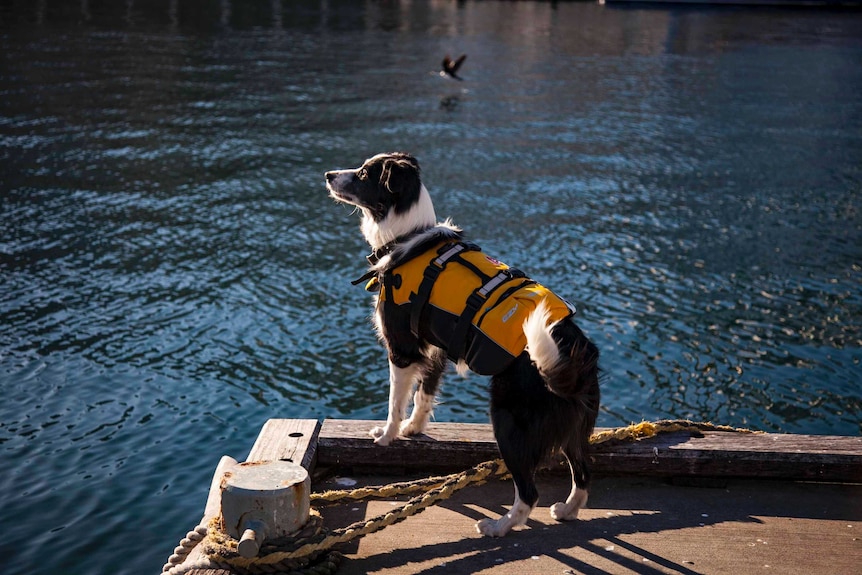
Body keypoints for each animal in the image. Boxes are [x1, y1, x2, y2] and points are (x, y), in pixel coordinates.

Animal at [324, 153, 600, 540]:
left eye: (364, 174)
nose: (329, 174)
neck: (407, 236)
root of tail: (574, 352)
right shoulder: (433, 347)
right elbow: (424, 395)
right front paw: (413, 429)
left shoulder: (402, 348)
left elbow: (396, 401)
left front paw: (387, 436)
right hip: (574, 428)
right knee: (584, 471)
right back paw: (567, 510)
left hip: (508, 420)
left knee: (529, 491)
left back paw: (499, 526)